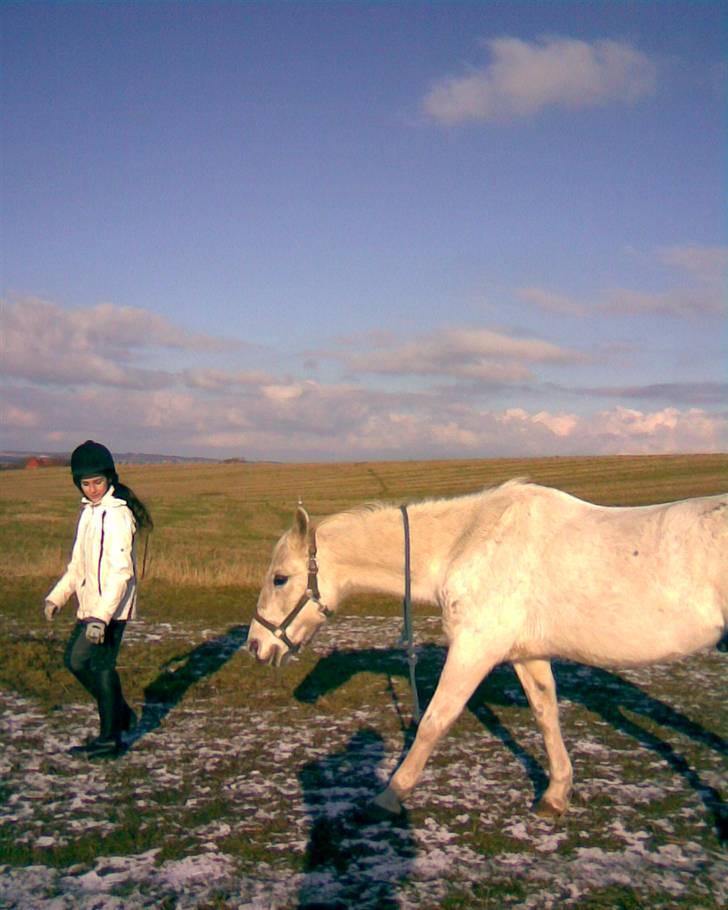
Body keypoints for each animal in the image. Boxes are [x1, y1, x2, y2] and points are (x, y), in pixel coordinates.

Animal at [247, 480, 724, 824]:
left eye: (280, 578)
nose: (256, 645)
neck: (470, 540)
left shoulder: (474, 649)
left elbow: (434, 722)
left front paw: (389, 796)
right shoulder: (525, 655)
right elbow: (546, 715)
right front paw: (556, 796)